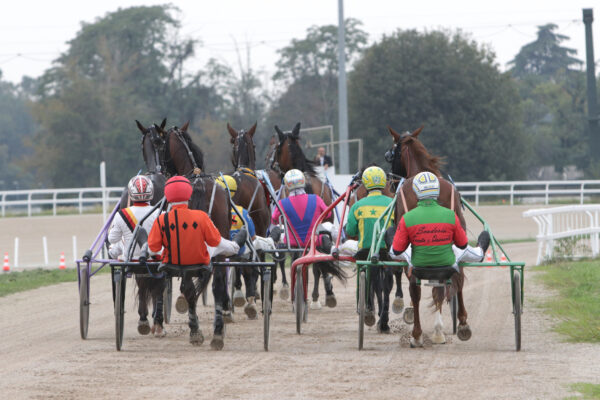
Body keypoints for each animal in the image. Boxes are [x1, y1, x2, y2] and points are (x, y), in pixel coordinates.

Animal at [386, 126, 472, 346]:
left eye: (391, 153)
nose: (391, 183)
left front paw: (407, 310)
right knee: (456, 280)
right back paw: (458, 325)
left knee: (416, 289)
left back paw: (417, 334)